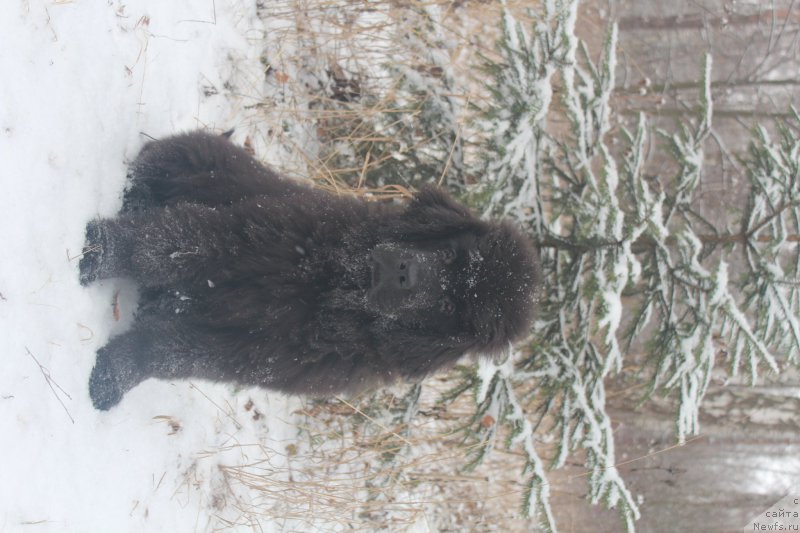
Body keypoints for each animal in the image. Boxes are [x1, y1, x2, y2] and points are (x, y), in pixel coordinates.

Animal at [81, 131, 540, 410]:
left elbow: (169, 353)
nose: (403, 273)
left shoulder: (250, 352)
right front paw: (98, 250)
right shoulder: (242, 239)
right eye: (449, 256)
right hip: (190, 158)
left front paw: (113, 376)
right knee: (149, 174)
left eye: (447, 306)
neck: (332, 289)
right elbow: (164, 245)